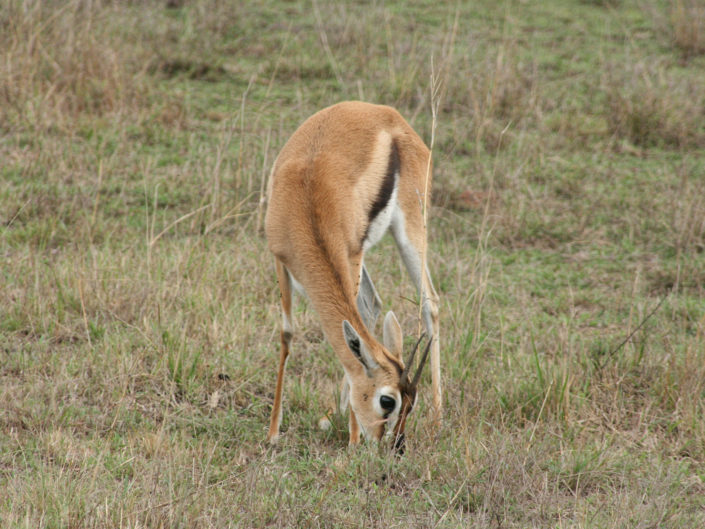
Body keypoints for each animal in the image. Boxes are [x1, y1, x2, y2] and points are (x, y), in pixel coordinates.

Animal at [264, 101, 440, 448]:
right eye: (388, 400)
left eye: (409, 404)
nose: (396, 444)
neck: (307, 203)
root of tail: (386, 114)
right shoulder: (281, 261)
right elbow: (288, 333)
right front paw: (274, 432)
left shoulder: (351, 254)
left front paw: (353, 436)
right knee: (375, 306)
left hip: (411, 230)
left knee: (430, 305)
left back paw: (441, 419)